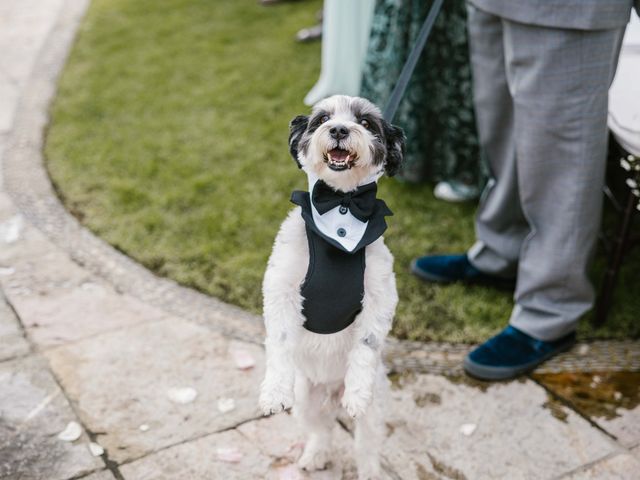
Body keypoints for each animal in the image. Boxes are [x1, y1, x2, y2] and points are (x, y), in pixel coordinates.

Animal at [258, 95, 402, 478]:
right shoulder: (281, 288)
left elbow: (366, 345)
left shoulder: (380, 296)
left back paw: (368, 468)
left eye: (366, 123)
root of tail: (329, 391)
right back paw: (314, 456)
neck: (340, 206)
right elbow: (280, 341)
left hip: (376, 408)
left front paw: (355, 393)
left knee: (365, 445)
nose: (338, 129)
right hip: (306, 399)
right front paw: (273, 393)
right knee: (320, 430)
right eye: (321, 119)